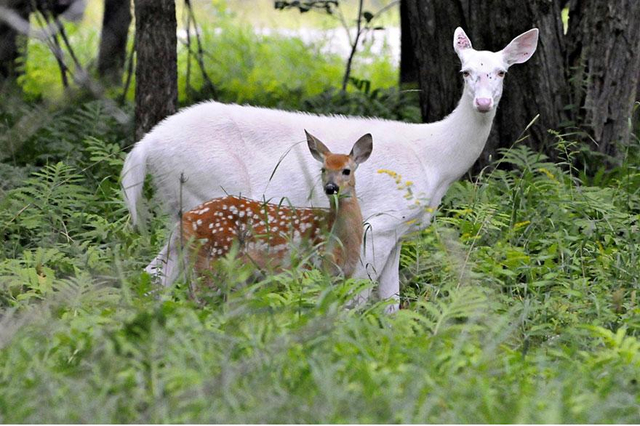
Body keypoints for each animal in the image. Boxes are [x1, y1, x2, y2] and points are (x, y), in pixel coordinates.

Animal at [180, 131, 372, 280]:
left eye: (346, 170)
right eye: (323, 169)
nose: (331, 188)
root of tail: (188, 216)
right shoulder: (313, 266)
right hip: (217, 254)